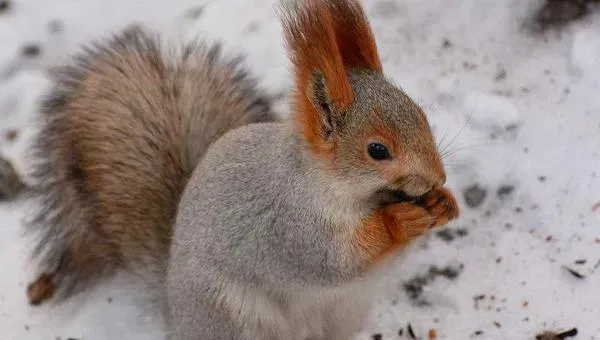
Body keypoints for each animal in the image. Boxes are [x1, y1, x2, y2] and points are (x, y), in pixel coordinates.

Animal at [23, 0, 460, 340]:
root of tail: (173, 308)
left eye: (421, 115)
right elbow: (334, 260)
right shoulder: (291, 225)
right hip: (233, 316)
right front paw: (398, 221)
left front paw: (442, 203)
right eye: (377, 150)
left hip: (343, 309)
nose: (437, 177)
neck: (345, 189)